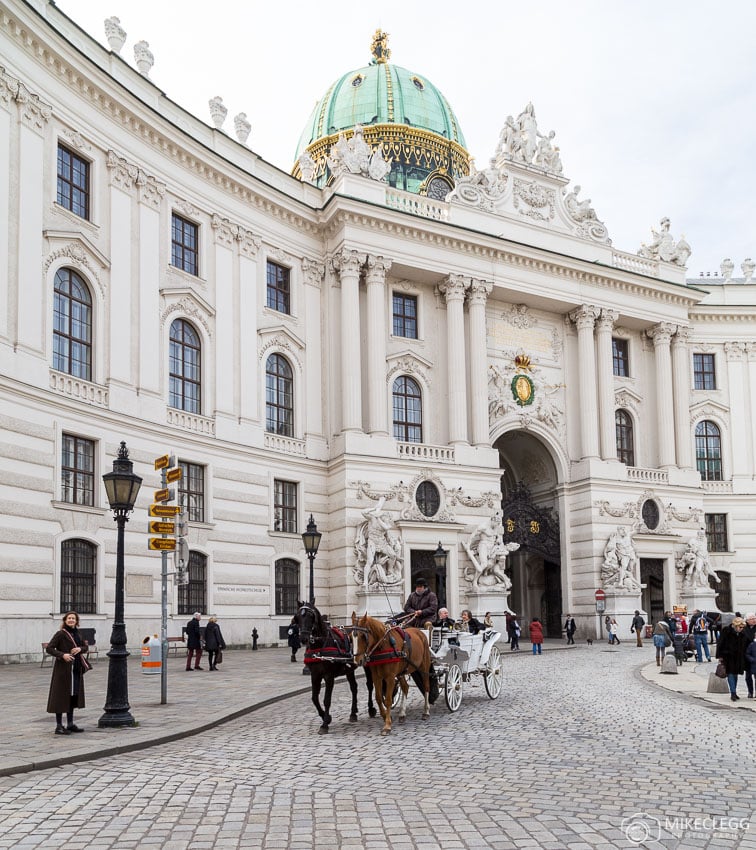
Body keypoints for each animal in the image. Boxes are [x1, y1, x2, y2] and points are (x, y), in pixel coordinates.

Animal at [296, 600, 378, 732]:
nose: (303, 638)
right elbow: (314, 698)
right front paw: (326, 717)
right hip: (349, 669)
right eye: (297, 617)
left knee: (370, 685)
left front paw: (324, 724)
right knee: (354, 688)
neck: (321, 644)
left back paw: (371, 709)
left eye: (311, 616)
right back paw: (353, 713)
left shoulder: (329, 676)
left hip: (367, 664)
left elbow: (327, 700)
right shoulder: (315, 675)